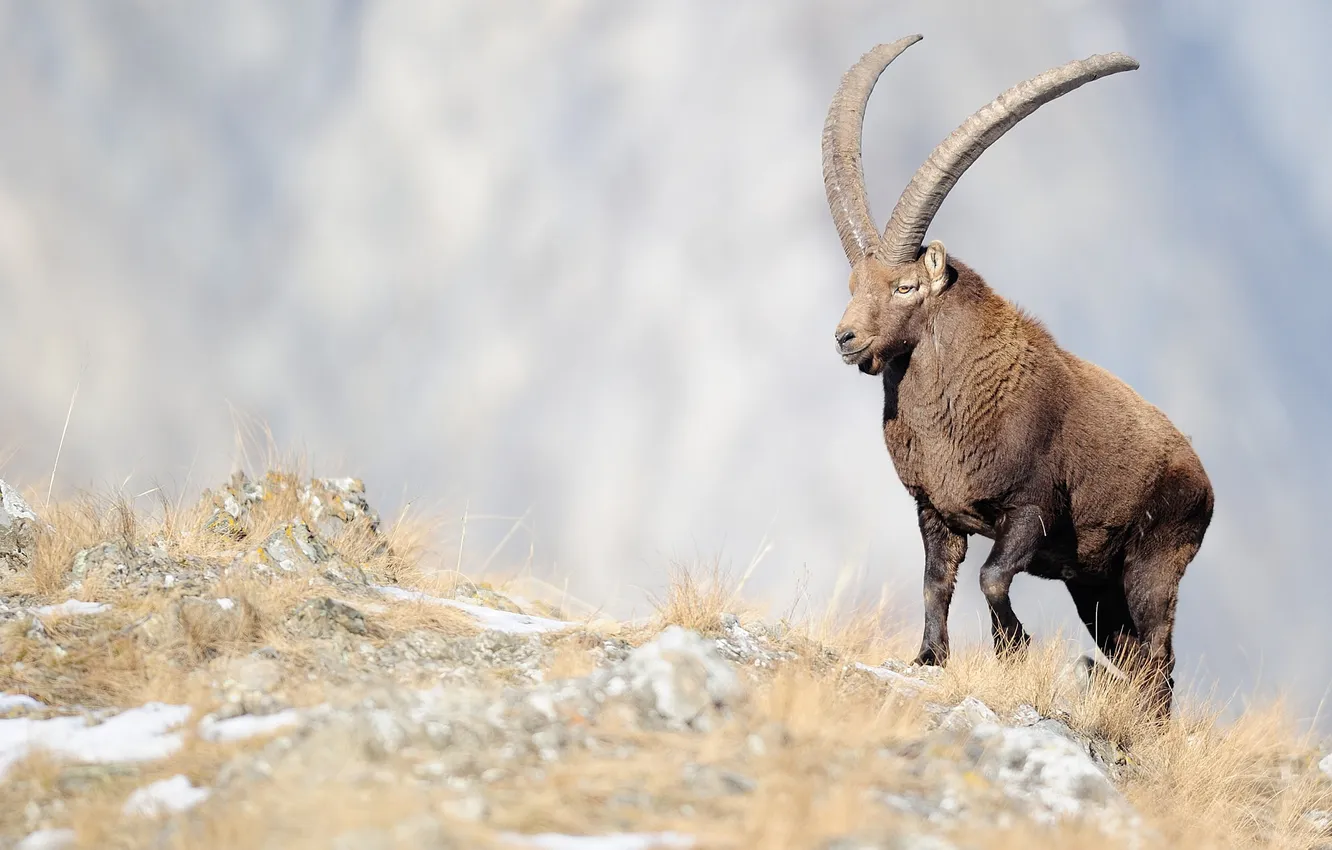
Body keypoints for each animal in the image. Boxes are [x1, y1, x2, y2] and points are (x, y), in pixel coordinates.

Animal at [822, 36, 1213, 716]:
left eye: (904, 287)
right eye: (853, 285)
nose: (847, 339)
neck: (956, 405)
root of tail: (1206, 483)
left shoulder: (1030, 511)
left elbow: (991, 576)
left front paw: (1015, 647)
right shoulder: (935, 510)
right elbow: (936, 582)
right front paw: (929, 658)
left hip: (1155, 564)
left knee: (1159, 658)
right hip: (1096, 586)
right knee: (1135, 657)